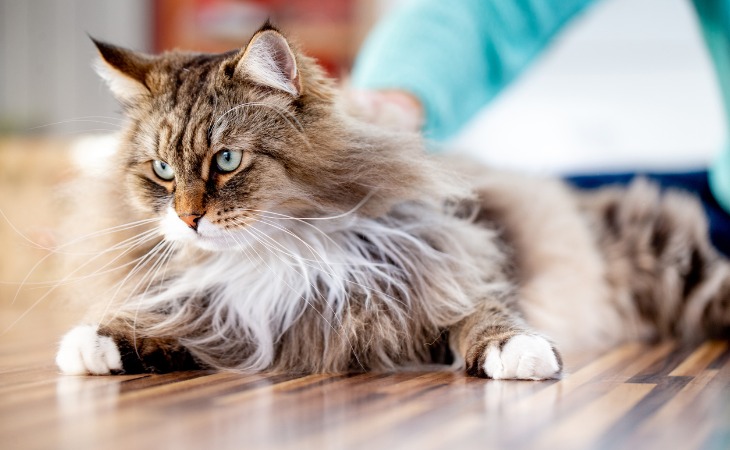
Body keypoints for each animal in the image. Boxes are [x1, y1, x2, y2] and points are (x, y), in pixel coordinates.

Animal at [55, 22, 728, 380]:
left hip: (673, 257)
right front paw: (94, 341)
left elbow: (487, 319)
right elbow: (163, 324)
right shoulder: (227, 319)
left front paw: (523, 353)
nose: (189, 218)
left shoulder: (452, 278)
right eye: (163, 172)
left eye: (226, 161)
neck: (277, 258)